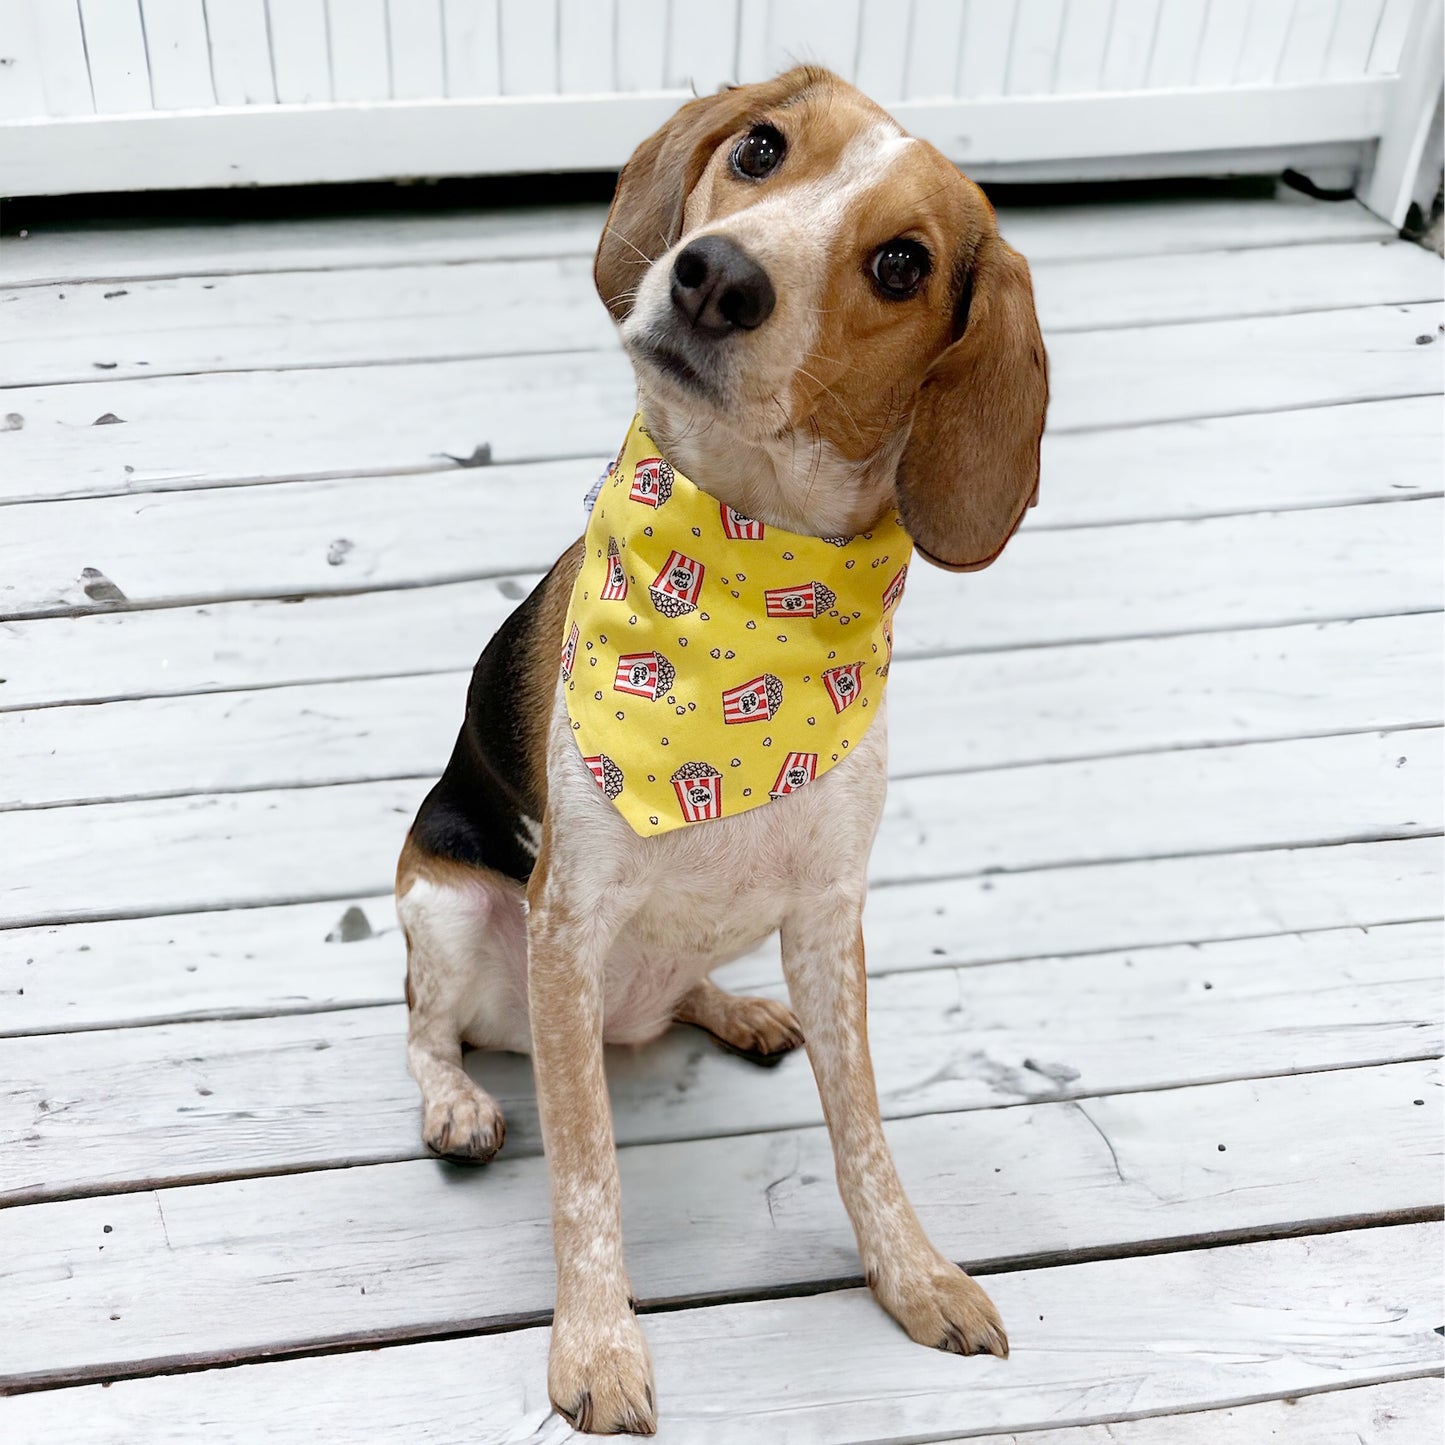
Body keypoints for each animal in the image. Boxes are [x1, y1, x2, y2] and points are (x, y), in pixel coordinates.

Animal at [395, 65, 1051, 1433]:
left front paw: (913, 1274)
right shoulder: (564, 917)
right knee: (430, 1030)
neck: (747, 569)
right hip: (447, 906)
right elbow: (586, 1174)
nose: (714, 276)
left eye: (901, 264)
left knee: (673, 986)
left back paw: (731, 1007)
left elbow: (862, 1134)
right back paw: (460, 1100)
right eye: (757, 148)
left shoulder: (830, 913)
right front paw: (596, 1344)